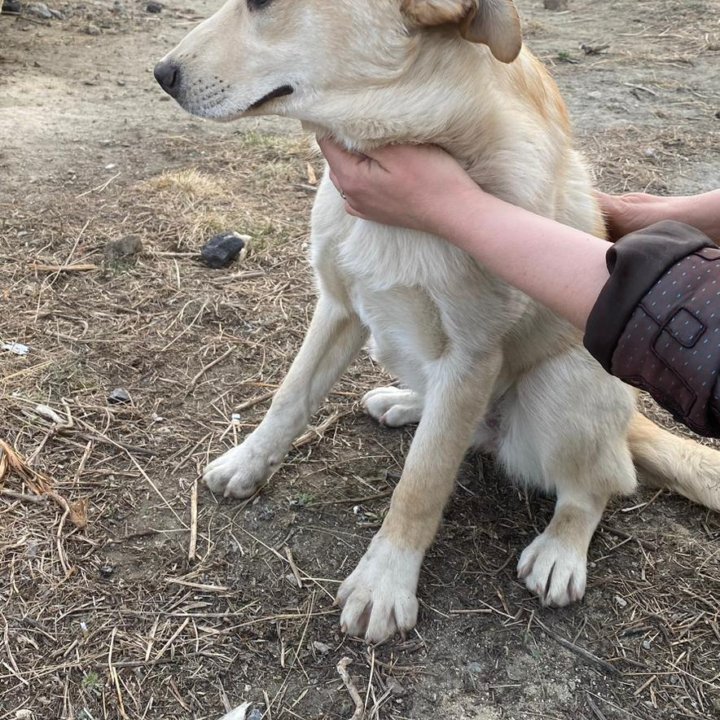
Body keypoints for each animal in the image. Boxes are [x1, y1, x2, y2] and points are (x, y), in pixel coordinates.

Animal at [156, 0, 720, 640]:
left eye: (263, 4)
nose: (161, 74)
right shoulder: (338, 306)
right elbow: (289, 399)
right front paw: (249, 464)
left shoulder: (471, 357)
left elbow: (420, 484)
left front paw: (384, 581)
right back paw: (406, 403)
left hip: (565, 383)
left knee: (599, 484)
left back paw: (561, 547)